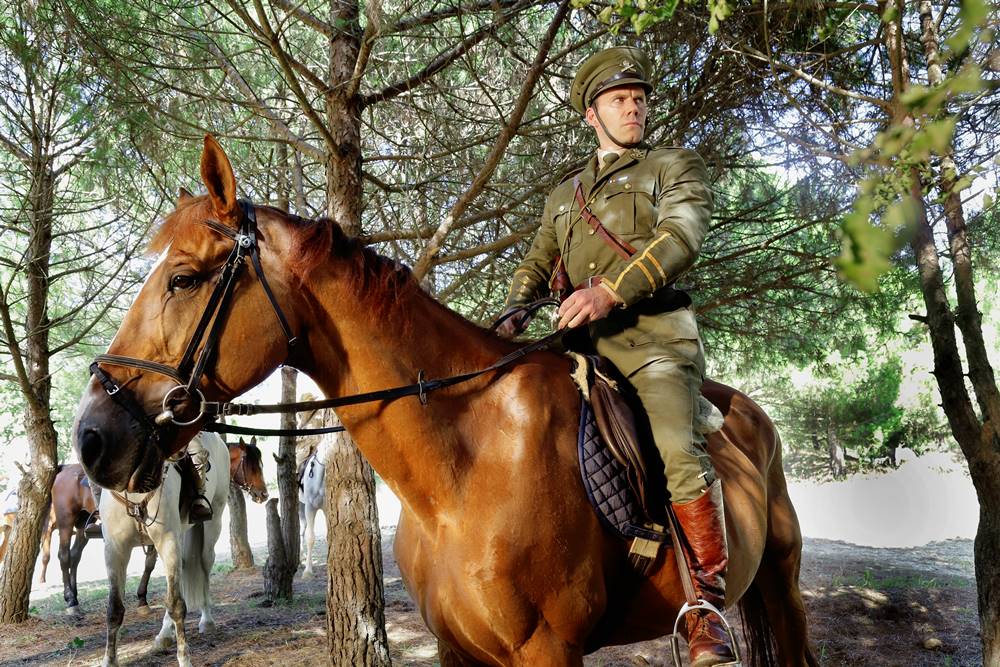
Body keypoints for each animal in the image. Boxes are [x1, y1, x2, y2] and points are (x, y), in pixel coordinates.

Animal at [99, 434, 229, 667]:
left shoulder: (167, 541)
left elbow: (176, 605)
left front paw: (185, 659)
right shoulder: (115, 550)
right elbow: (114, 609)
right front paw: (109, 660)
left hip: (212, 522)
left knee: (204, 564)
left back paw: (207, 621)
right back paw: (165, 635)